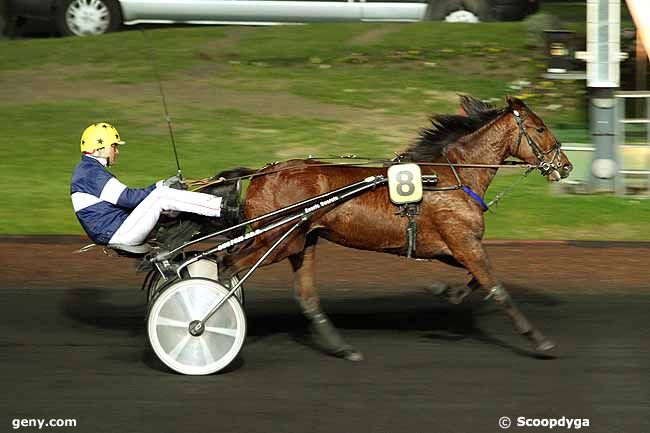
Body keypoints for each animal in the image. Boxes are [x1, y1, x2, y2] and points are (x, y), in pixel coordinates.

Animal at [223, 96, 572, 360]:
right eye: (540, 127)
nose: (565, 165)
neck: (452, 177)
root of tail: (261, 174)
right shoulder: (463, 241)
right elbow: (497, 288)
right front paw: (539, 340)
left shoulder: (450, 247)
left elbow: (475, 280)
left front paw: (446, 291)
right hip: (277, 240)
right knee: (227, 266)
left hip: (300, 242)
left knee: (305, 296)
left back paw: (342, 348)